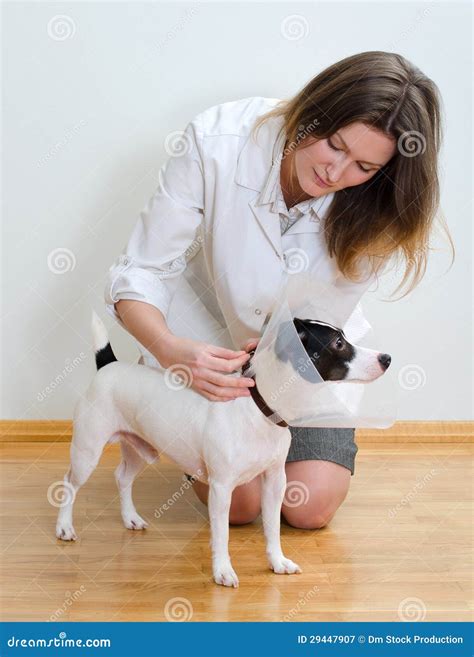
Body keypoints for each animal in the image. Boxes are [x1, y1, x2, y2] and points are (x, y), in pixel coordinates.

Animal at [53, 310, 390, 588]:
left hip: (140, 448)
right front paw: (223, 571)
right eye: (338, 343)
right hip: (87, 451)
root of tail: (108, 366)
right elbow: (222, 534)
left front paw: (277, 561)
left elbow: (272, 528)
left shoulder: (275, 481)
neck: (259, 406)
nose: (386, 357)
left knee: (122, 477)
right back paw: (65, 527)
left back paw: (130, 518)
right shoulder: (221, 488)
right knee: (69, 484)